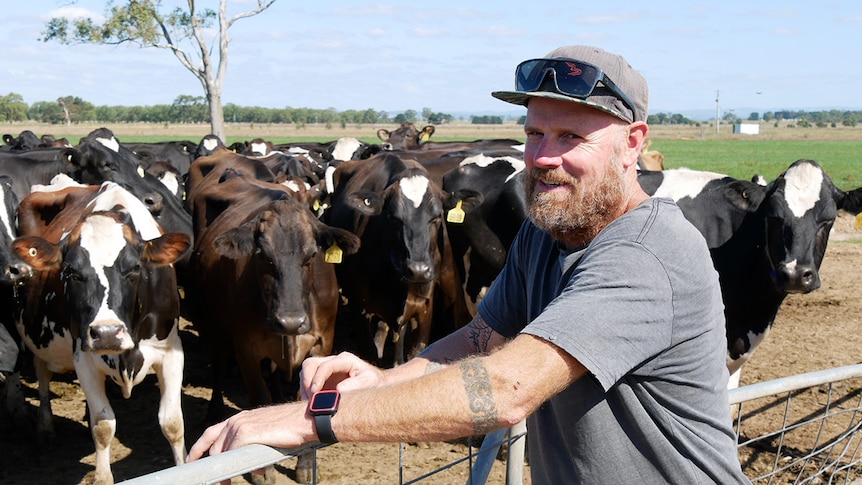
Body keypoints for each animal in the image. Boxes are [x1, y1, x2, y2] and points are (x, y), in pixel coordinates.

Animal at [9, 182, 191, 484]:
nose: (107, 333)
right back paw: (45, 428)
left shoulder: (171, 351)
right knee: (42, 374)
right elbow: (104, 426)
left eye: (135, 268)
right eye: (70, 272)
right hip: (38, 337)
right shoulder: (83, 358)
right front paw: (103, 475)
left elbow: (173, 423)